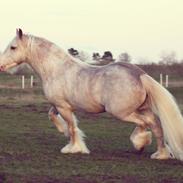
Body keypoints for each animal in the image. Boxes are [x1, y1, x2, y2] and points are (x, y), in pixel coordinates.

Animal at [0, 28, 183, 160]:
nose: (1, 66)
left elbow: (72, 127)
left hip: (121, 112)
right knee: (155, 125)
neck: (57, 69)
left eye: (13, 47)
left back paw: (140, 143)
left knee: (146, 123)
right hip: (142, 109)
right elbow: (53, 116)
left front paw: (73, 148)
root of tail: (140, 75)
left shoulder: (63, 107)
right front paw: (63, 131)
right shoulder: (59, 105)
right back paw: (160, 154)